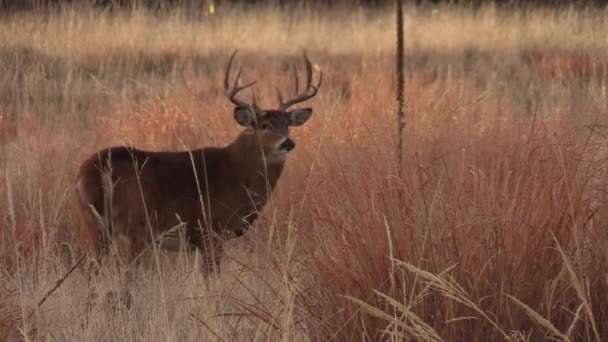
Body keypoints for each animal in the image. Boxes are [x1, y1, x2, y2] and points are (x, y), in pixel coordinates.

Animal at [75, 50, 320, 276]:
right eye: (264, 125)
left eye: (287, 124)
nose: (287, 143)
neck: (238, 173)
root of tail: (94, 171)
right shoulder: (211, 230)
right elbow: (212, 277)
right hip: (136, 224)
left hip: (93, 225)